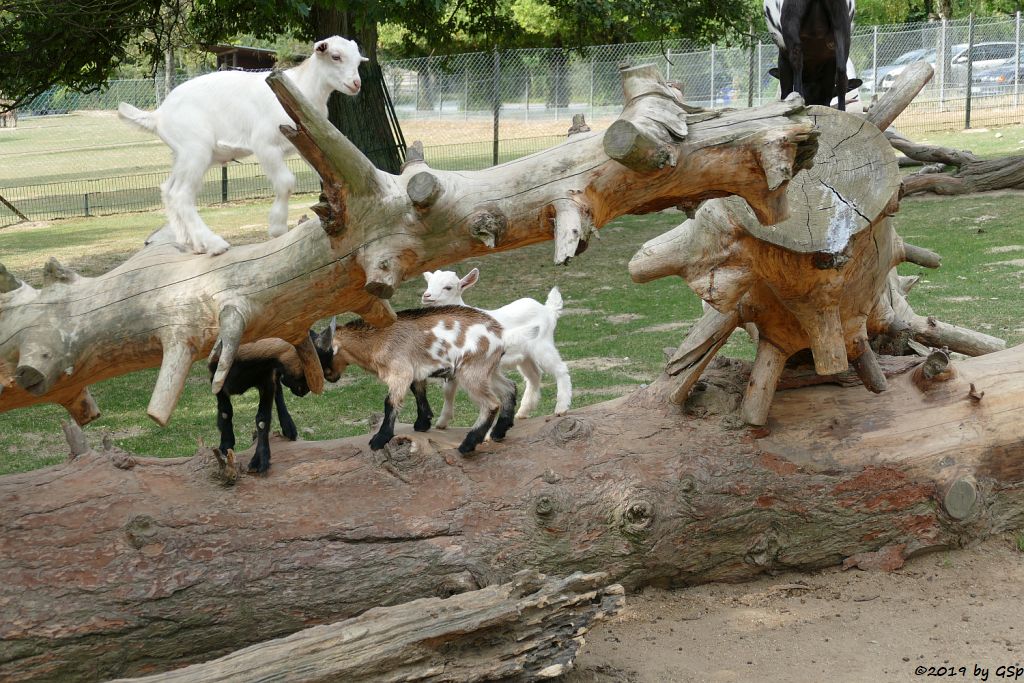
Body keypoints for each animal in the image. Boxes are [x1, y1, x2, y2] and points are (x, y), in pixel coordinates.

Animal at [118, 35, 366, 253]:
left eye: (357, 61)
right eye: (335, 56)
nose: (356, 84)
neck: (302, 85)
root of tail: (158, 115)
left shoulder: (306, 142)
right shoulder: (265, 144)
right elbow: (286, 182)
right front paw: (277, 228)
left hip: (184, 155)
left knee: (169, 190)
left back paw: (193, 244)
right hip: (195, 150)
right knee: (181, 195)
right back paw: (214, 244)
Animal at [209, 321, 337, 475]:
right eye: (310, 361)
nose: (304, 391)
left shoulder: (267, 380)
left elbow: (262, 419)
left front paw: (259, 461)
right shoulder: (216, 378)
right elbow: (225, 412)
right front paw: (225, 446)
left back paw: (289, 427)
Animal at [419, 268, 573, 423]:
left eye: (448, 287)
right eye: (429, 283)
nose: (427, 296)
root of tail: (548, 310)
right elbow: (448, 390)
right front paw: (442, 422)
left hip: (542, 345)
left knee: (560, 368)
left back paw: (561, 407)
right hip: (525, 356)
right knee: (534, 375)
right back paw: (523, 411)